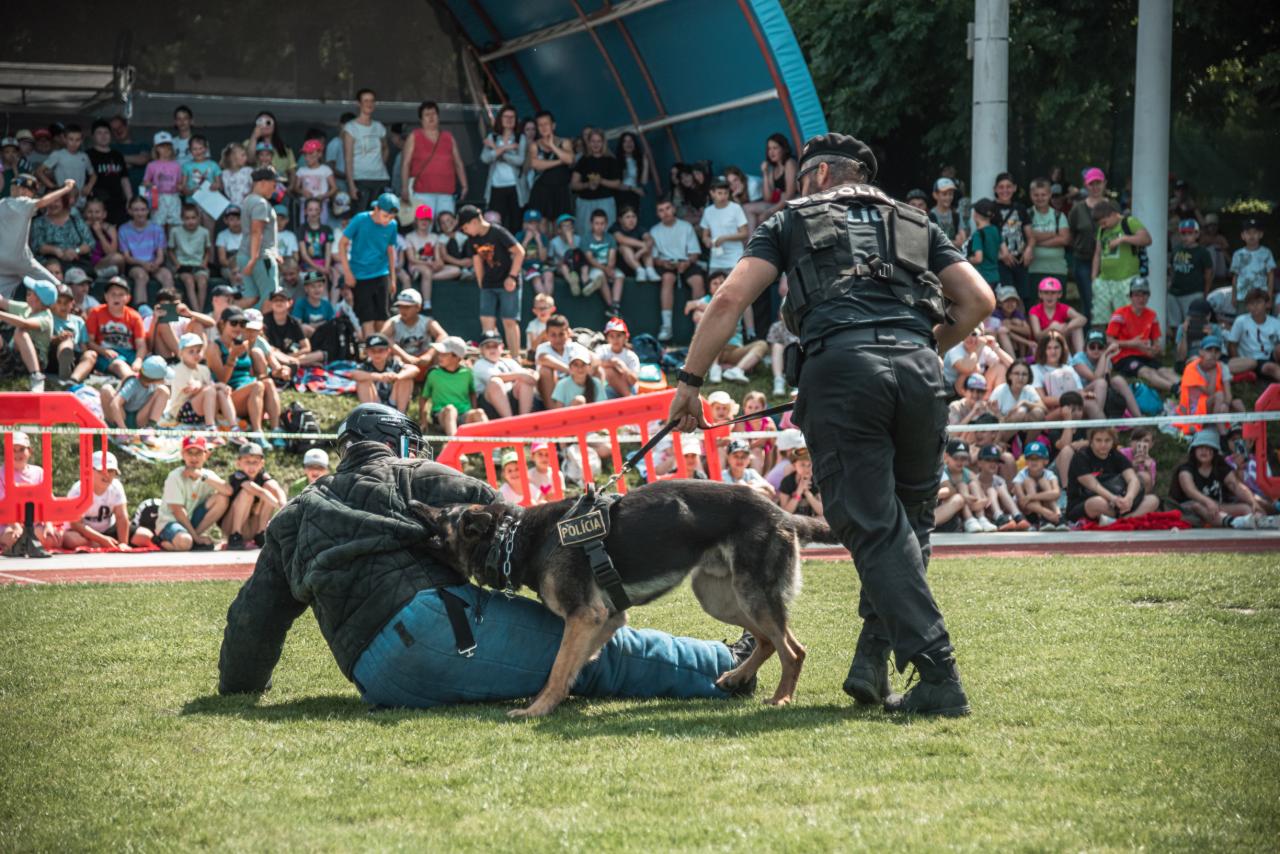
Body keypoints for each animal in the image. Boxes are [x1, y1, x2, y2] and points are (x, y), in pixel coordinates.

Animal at [409, 478, 840, 718]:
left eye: (442, 514)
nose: (412, 503)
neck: (516, 538)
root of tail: (781, 514)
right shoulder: (604, 619)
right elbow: (569, 666)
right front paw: (558, 697)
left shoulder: (584, 615)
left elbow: (556, 668)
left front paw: (536, 709)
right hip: (718, 597)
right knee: (768, 640)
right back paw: (737, 676)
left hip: (751, 596)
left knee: (793, 649)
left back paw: (781, 699)